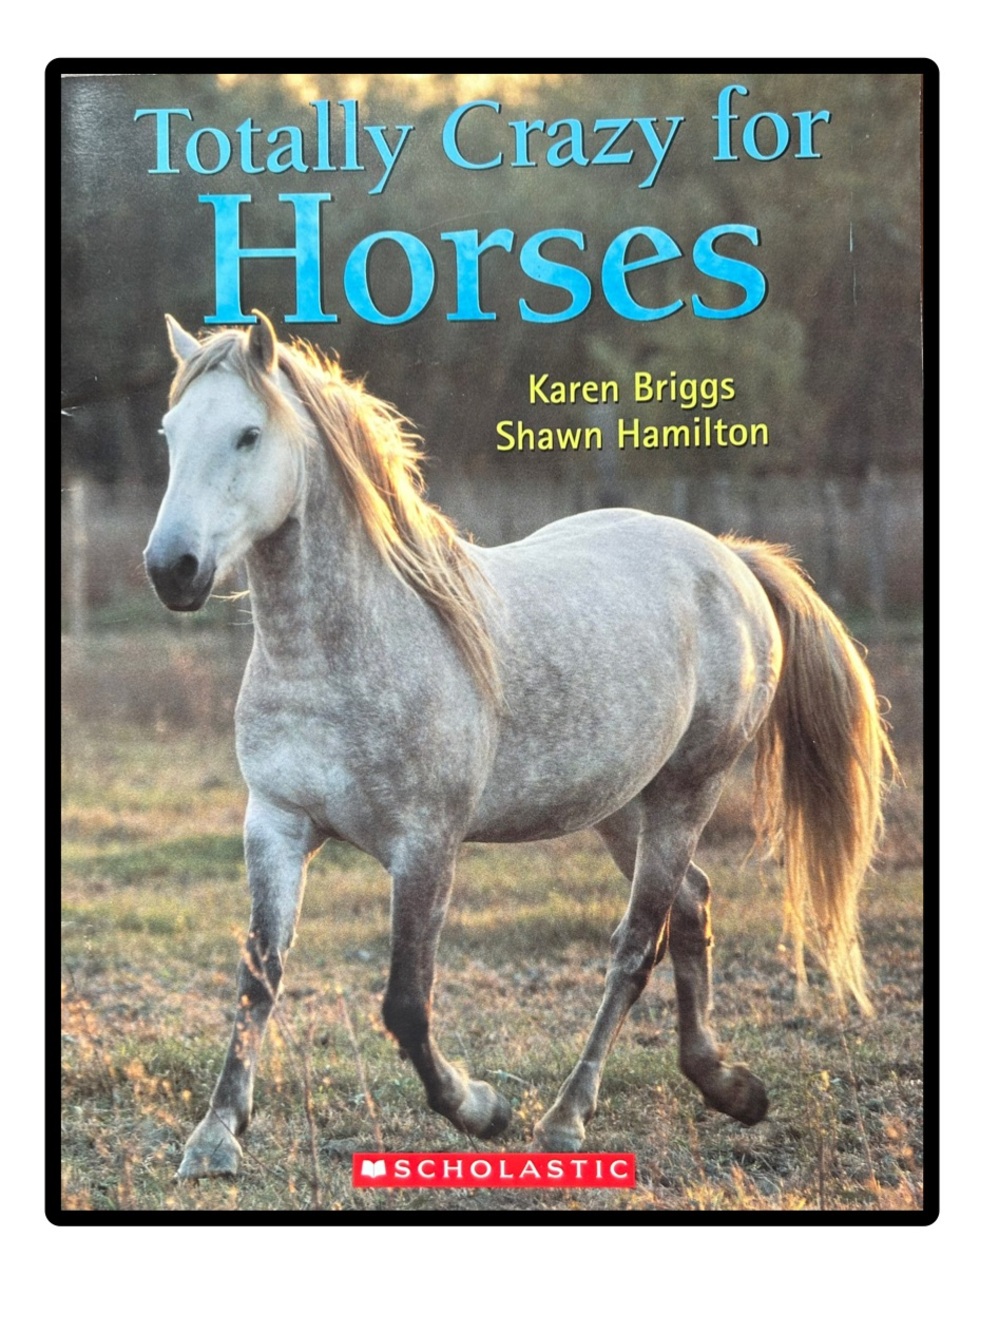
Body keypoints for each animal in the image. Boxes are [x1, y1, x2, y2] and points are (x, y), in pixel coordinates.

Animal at [144, 312, 894, 1180]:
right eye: (170, 434)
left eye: (248, 434)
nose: (172, 569)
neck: (346, 647)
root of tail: (729, 557)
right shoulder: (275, 823)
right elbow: (257, 976)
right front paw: (213, 1136)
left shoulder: (425, 844)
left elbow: (405, 1002)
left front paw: (481, 1108)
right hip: (620, 805)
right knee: (692, 905)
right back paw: (724, 1084)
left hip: (687, 791)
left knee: (636, 944)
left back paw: (566, 1117)